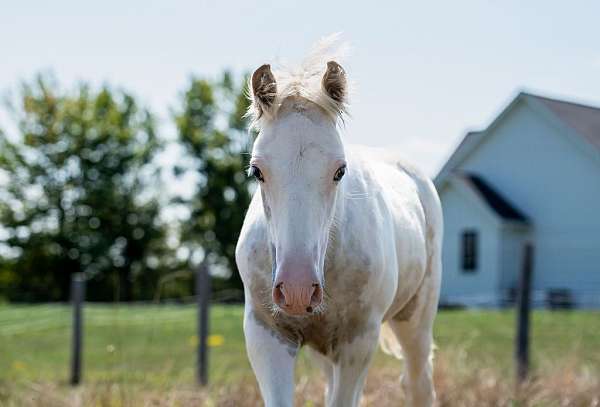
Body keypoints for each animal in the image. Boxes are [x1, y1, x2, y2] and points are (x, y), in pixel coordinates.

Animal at [237, 39, 442, 407]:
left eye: (340, 171)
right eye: (257, 171)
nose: (297, 290)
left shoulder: (358, 342)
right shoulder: (266, 336)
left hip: (416, 320)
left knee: (419, 383)